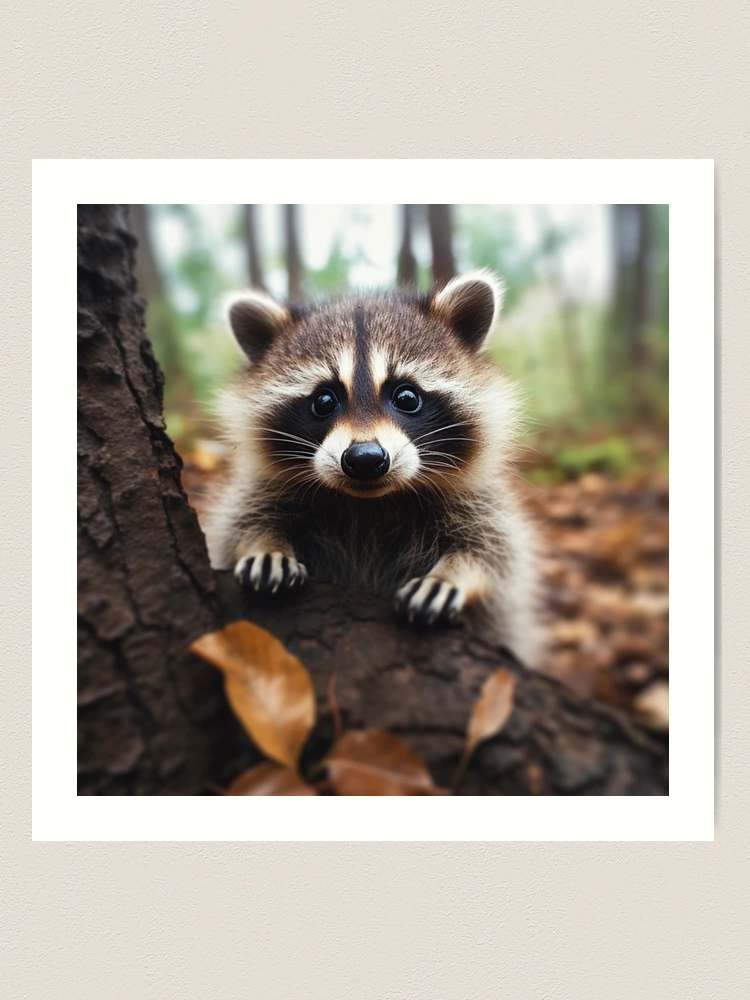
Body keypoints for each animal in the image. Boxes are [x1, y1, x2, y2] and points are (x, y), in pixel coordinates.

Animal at [206, 269, 540, 662]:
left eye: (407, 397)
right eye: (324, 401)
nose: (365, 459)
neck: (370, 502)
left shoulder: (477, 498)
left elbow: (492, 552)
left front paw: (450, 575)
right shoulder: (262, 487)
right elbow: (242, 522)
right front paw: (264, 545)